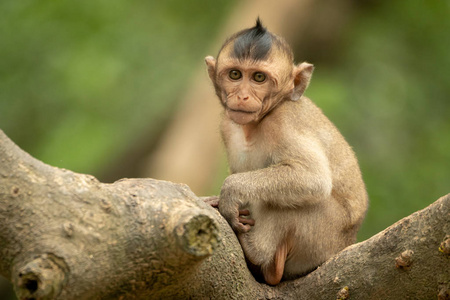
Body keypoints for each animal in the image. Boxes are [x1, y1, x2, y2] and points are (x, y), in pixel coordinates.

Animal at [204, 19, 366, 284]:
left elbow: (312, 178)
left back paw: (256, 252)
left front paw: (229, 192)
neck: (257, 123)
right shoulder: (226, 125)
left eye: (259, 77)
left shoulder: (284, 122)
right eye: (235, 74)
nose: (242, 96)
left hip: (321, 239)